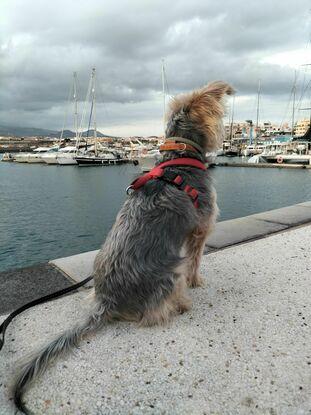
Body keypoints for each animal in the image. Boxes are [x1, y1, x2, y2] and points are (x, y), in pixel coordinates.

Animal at [13, 80, 235, 412]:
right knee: (155, 313)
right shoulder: (200, 230)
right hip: (171, 274)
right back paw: (181, 305)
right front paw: (197, 282)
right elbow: (196, 261)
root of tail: (109, 301)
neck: (180, 157)